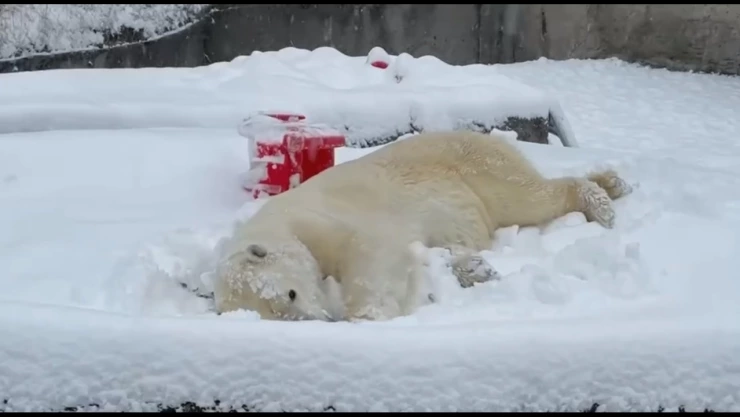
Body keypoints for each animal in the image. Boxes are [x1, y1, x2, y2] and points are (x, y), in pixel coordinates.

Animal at [212, 130, 633, 322]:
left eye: (291, 293)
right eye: (279, 315)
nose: (322, 320)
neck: (277, 223)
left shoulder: (319, 218)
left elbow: (370, 250)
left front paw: (365, 316)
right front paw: (472, 269)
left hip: (473, 166)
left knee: (527, 197)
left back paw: (601, 202)